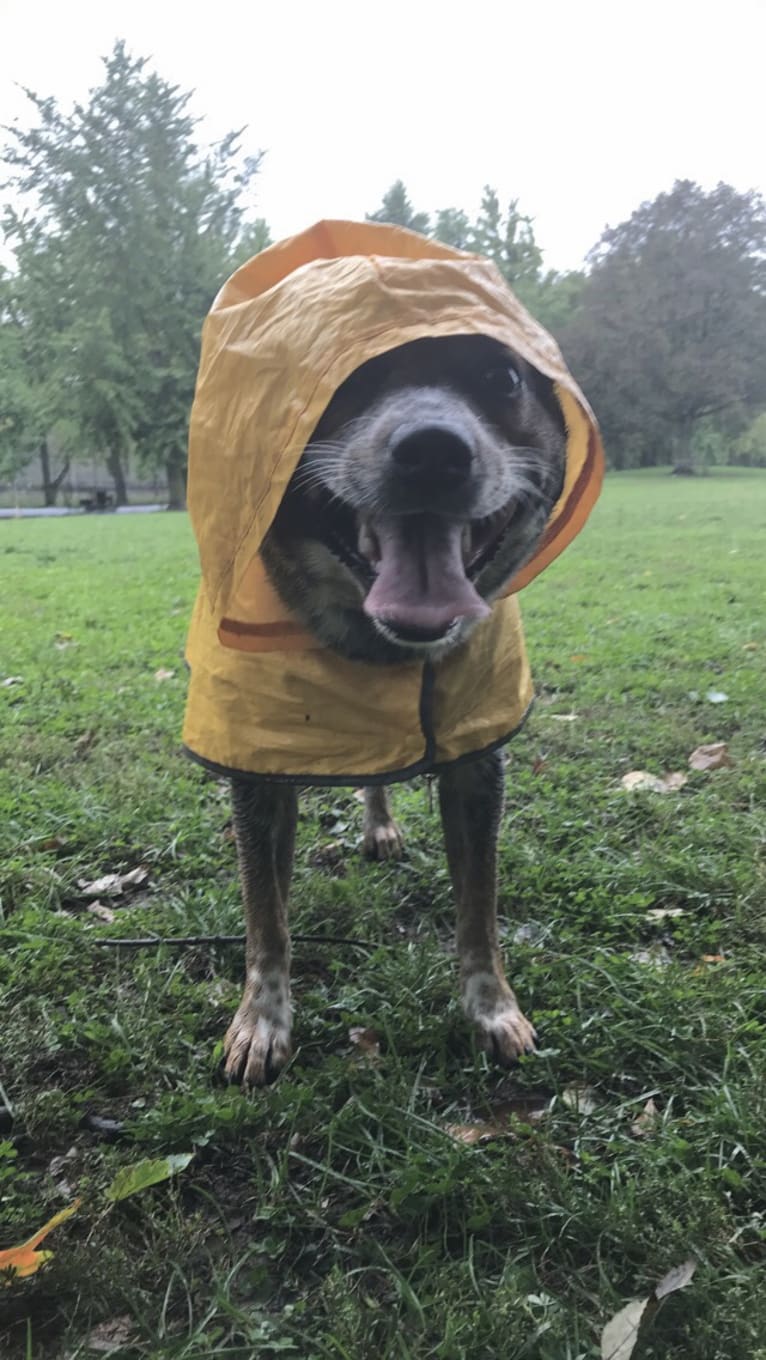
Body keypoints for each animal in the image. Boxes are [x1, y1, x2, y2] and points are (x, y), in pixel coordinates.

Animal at [221, 334, 568, 1088]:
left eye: (502, 376)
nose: (434, 450)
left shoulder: (478, 771)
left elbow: (479, 908)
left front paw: (493, 1011)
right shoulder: (257, 773)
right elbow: (266, 917)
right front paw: (261, 1021)